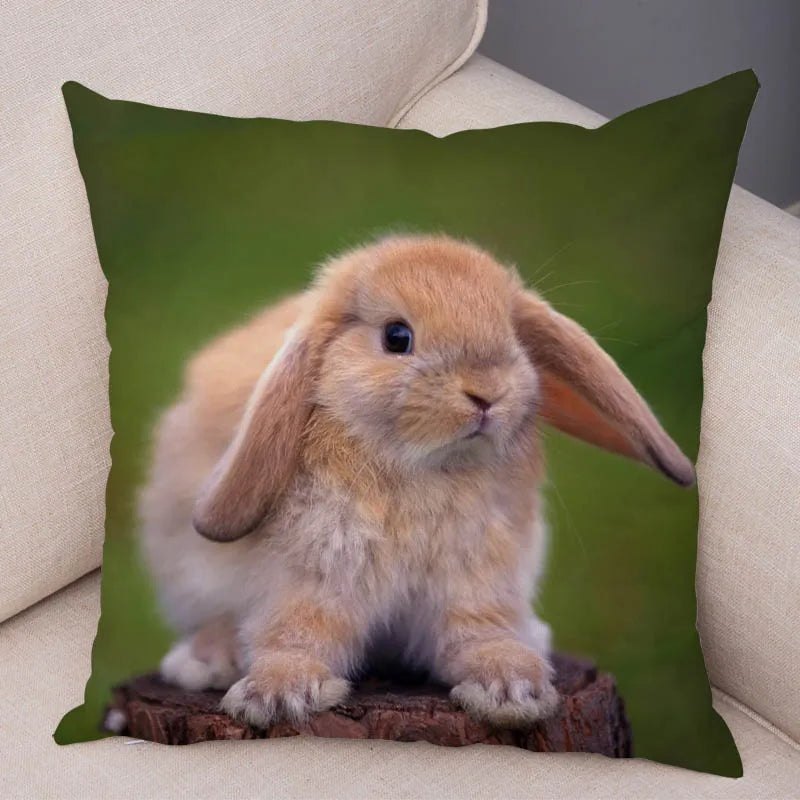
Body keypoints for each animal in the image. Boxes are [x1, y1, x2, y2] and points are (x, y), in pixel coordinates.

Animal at [139, 234, 694, 729]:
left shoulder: (476, 579)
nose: (487, 393)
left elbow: (478, 635)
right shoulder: (313, 574)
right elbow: (298, 632)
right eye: (396, 337)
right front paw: (275, 696)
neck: (423, 467)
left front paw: (512, 689)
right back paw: (208, 661)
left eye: (512, 335)